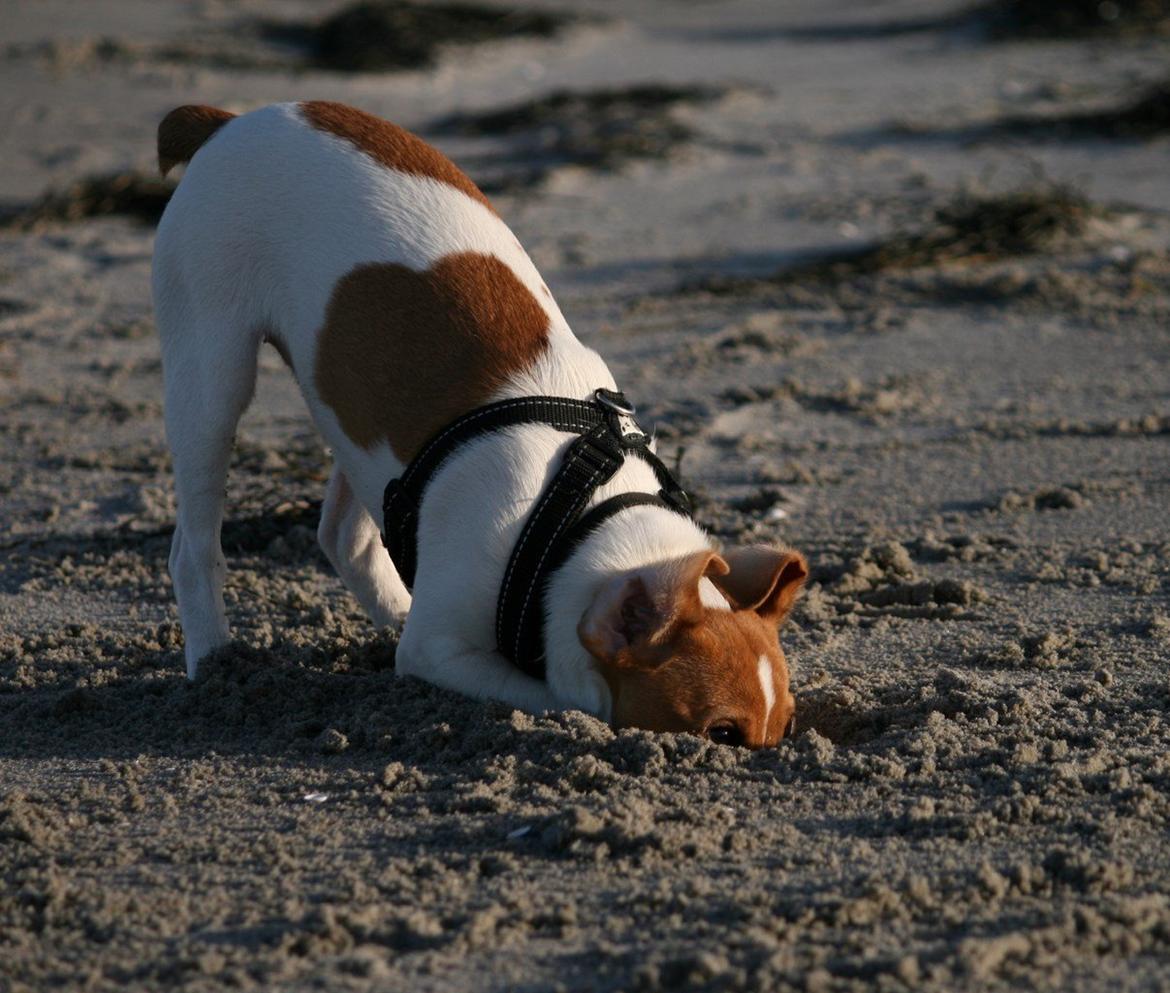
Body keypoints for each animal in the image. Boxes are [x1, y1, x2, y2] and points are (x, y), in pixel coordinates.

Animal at [153, 102, 804, 753]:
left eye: (787, 725)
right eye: (722, 734)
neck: (576, 515)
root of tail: (236, 119)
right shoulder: (440, 650)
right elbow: (568, 696)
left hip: (352, 421)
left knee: (346, 536)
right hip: (211, 376)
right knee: (194, 546)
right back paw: (216, 665)